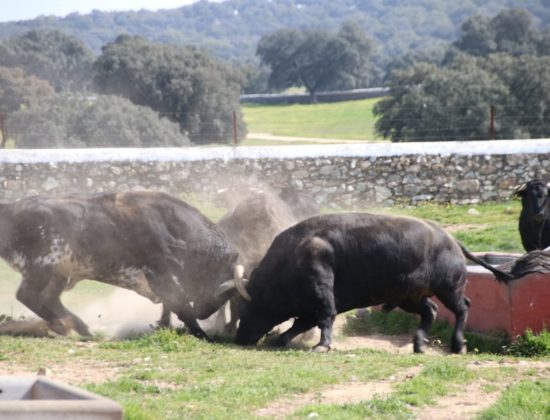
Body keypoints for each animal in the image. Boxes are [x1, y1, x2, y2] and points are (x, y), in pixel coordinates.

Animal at [0, 190, 242, 338]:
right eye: (221, 275)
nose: (205, 313)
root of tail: (10, 209)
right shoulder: (162, 276)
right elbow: (180, 307)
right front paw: (201, 334)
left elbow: (169, 306)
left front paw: (164, 326)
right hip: (41, 266)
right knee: (28, 296)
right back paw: (66, 325)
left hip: (59, 272)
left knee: (48, 298)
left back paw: (79, 327)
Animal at [227, 213, 512, 354]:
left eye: (246, 309)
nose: (240, 338)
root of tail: (452, 240)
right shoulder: (312, 305)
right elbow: (301, 323)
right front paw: (279, 340)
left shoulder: (321, 290)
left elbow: (324, 317)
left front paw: (321, 346)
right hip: (410, 298)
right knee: (430, 311)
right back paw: (418, 345)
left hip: (448, 290)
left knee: (462, 308)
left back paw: (458, 345)